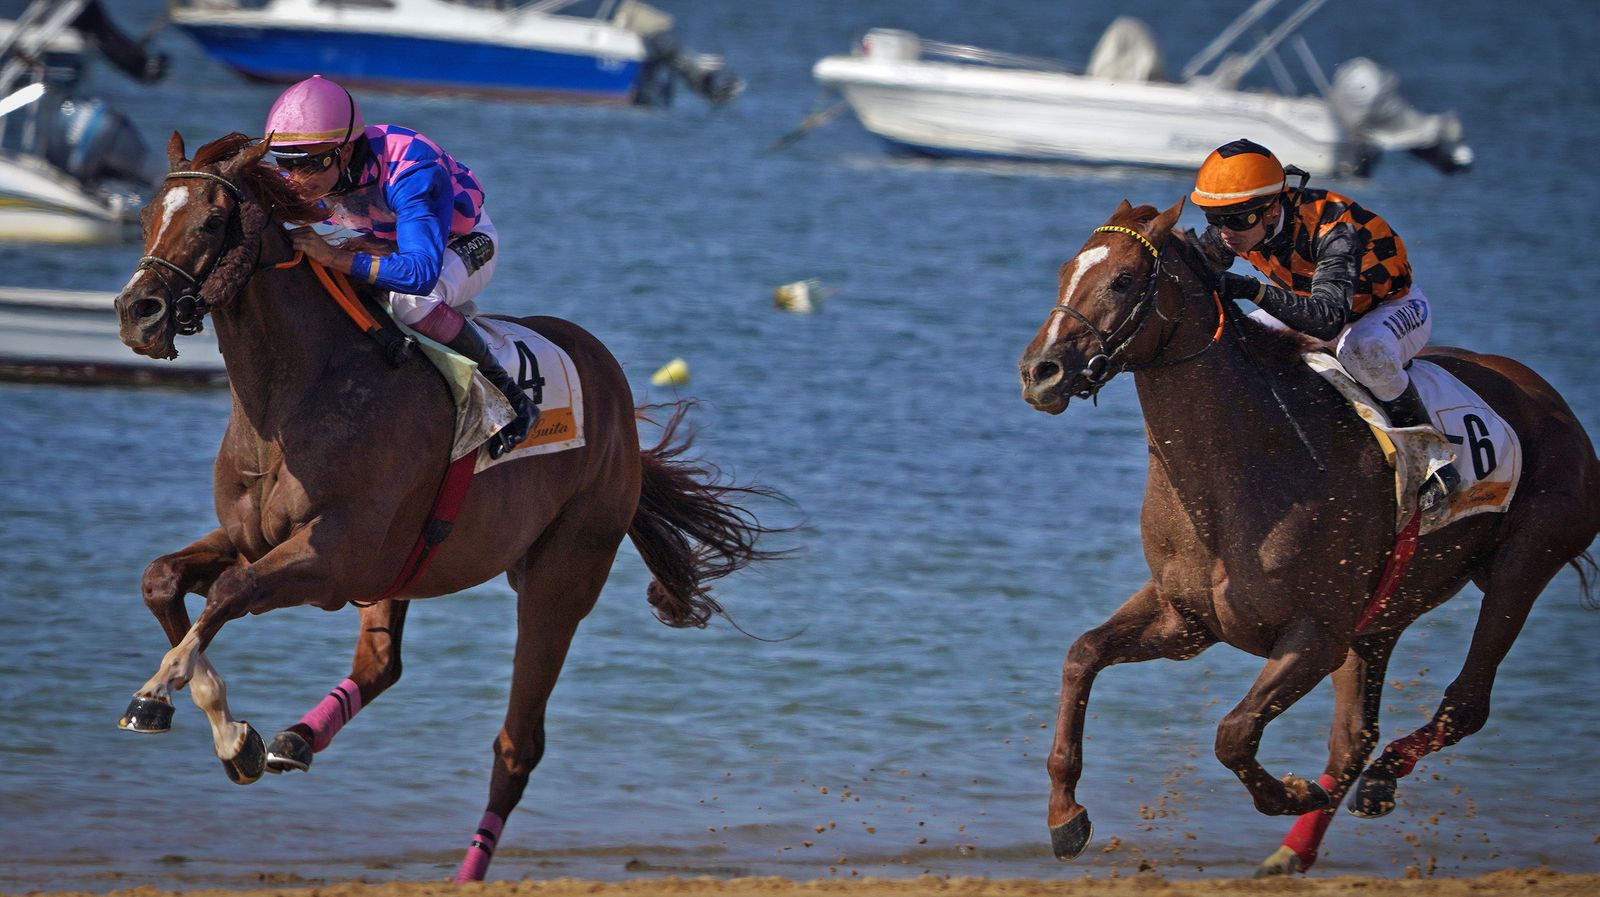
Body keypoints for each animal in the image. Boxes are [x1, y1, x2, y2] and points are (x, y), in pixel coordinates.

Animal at [112, 132, 787, 882]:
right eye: (145, 216)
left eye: (211, 220)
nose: (137, 312)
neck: (295, 394)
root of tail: (613, 390)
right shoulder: (256, 539)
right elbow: (162, 579)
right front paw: (228, 734)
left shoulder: (332, 557)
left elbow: (229, 592)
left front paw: (161, 692)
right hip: (400, 572)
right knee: (381, 664)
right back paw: (296, 738)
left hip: (559, 578)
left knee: (517, 744)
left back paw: (468, 870)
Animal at [1017, 199, 1599, 875]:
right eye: (1066, 270)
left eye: (1124, 280)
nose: (1040, 371)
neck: (1246, 469)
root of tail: (1550, 399)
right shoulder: (1185, 617)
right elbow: (1082, 654)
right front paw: (1065, 816)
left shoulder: (1316, 634)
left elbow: (1234, 733)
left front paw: (1291, 792)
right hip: (1383, 616)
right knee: (1355, 739)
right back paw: (1296, 848)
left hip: (1523, 564)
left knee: (1464, 703)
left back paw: (1378, 782)